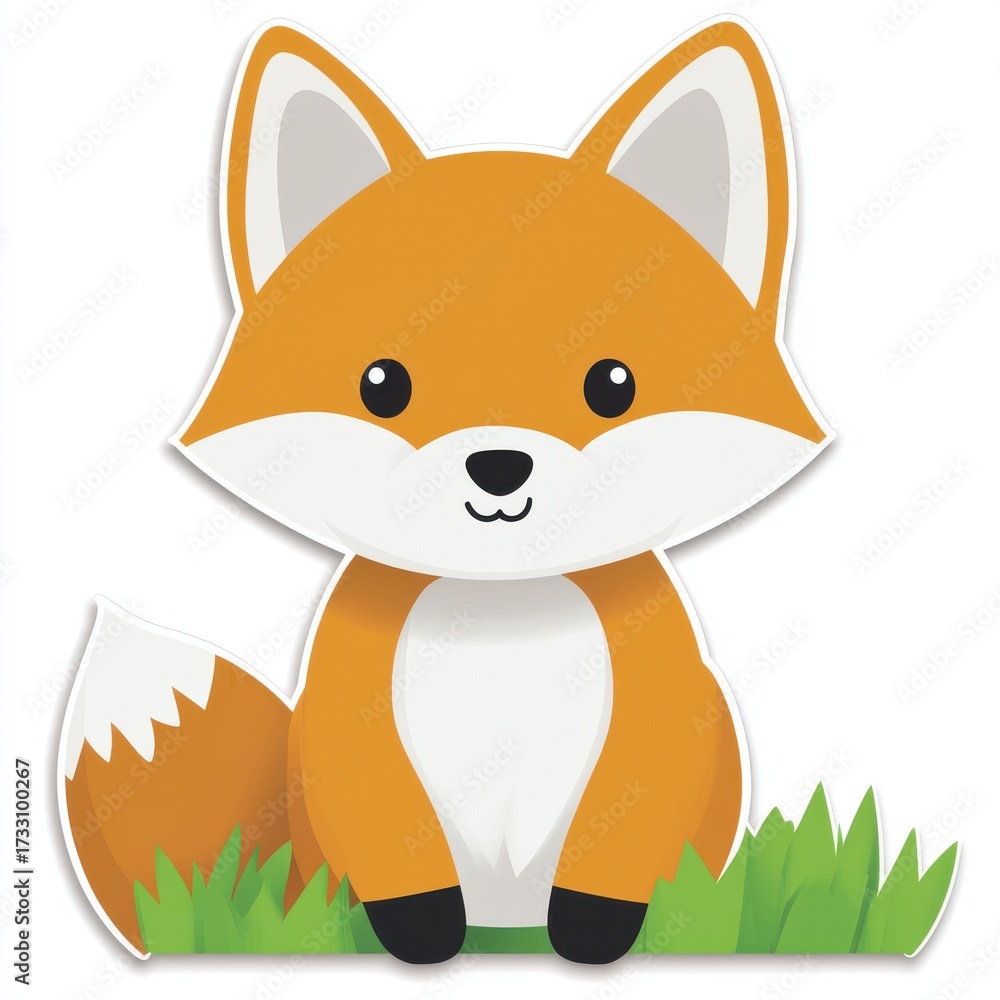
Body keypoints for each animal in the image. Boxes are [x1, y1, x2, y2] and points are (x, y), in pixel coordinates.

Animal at [59, 16, 831, 965]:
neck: (500, 609)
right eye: (382, 385)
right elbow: (392, 841)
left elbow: (626, 831)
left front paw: (597, 933)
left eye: (613, 385)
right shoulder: (351, 711)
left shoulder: (660, 699)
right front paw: (419, 934)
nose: (499, 466)